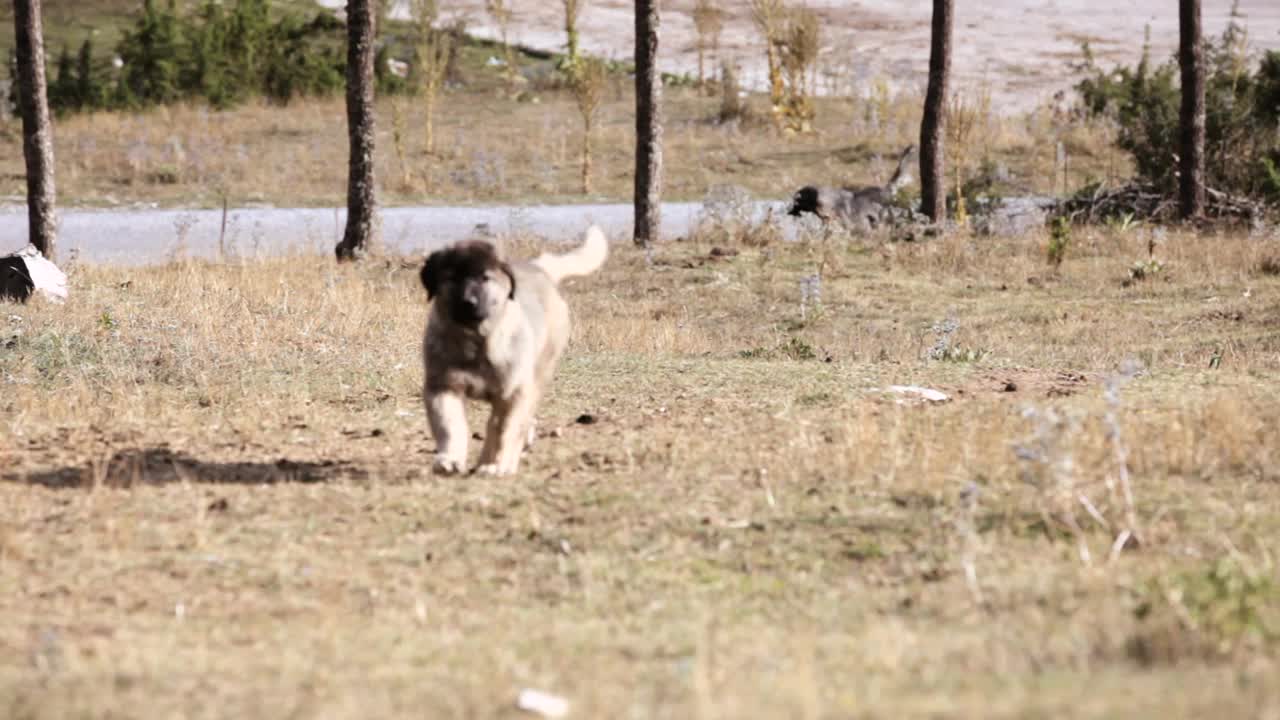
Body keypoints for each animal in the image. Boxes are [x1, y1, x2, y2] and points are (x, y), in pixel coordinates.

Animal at [414, 224, 604, 476]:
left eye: (485, 278)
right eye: (452, 277)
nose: (468, 302)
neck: (475, 342)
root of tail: (539, 269)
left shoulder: (512, 393)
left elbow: (503, 430)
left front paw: (496, 464)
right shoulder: (443, 386)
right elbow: (450, 425)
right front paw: (449, 459)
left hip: (539, 372)